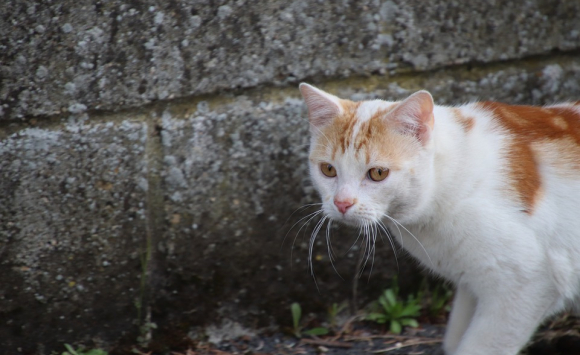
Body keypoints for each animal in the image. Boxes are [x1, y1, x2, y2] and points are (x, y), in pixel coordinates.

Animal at [300, 84, 580, 355]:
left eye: (378, 173)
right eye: (328, 170)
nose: (342, 202)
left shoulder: (528, 283)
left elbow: (480, 346)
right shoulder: (472, 281)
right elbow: (455, 338)